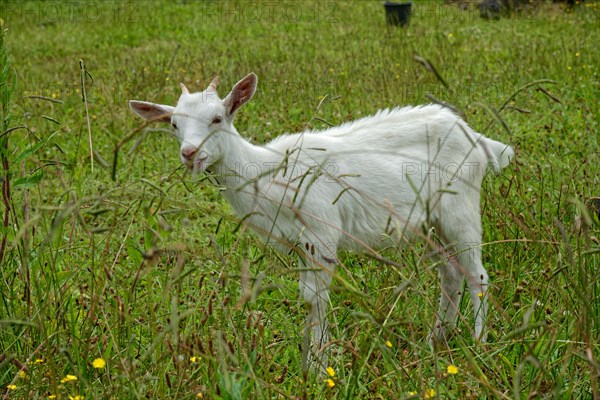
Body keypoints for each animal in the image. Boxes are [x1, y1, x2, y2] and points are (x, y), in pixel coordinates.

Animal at [129, 72, 512, 368]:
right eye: (174, 125)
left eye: (217, 119)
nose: (190, 153)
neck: (267, 172)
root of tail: (475, 137)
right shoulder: (302, 243)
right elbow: (307, 297)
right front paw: (310, 363)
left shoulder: (322, 231)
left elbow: (316, 298)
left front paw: (319, 366)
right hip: (431, 222)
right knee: (450, 272)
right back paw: (437, 341)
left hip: (460, 207)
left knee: (476, 274)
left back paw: (479, 345)